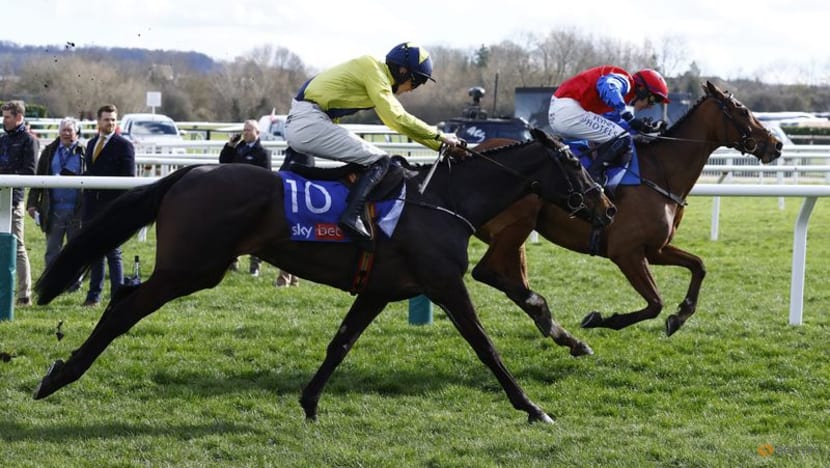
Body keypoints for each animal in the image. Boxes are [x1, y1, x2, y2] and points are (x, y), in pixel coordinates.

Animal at [31, 128, 616, 424]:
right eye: (576, 164)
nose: (607, 207)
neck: (445, 201)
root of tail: (189, 172)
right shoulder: (446, 285)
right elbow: (486, 347)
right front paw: (532, 407)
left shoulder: (380, 289)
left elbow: (341, 343)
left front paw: (310, 403)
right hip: (191, 267)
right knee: (123, 306)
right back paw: (58, 376)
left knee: (124, 301)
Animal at [472, 81, 782, 341]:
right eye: (743, 110)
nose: (776, 144)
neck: (660, 172)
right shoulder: (626, 252)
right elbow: (655, 303)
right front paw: (602, 319)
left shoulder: (655, 249)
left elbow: (699, 265)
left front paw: (681, 315)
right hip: (514, 229)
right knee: (487, 272)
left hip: (512, 237)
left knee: (512, 278)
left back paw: (551, 326)